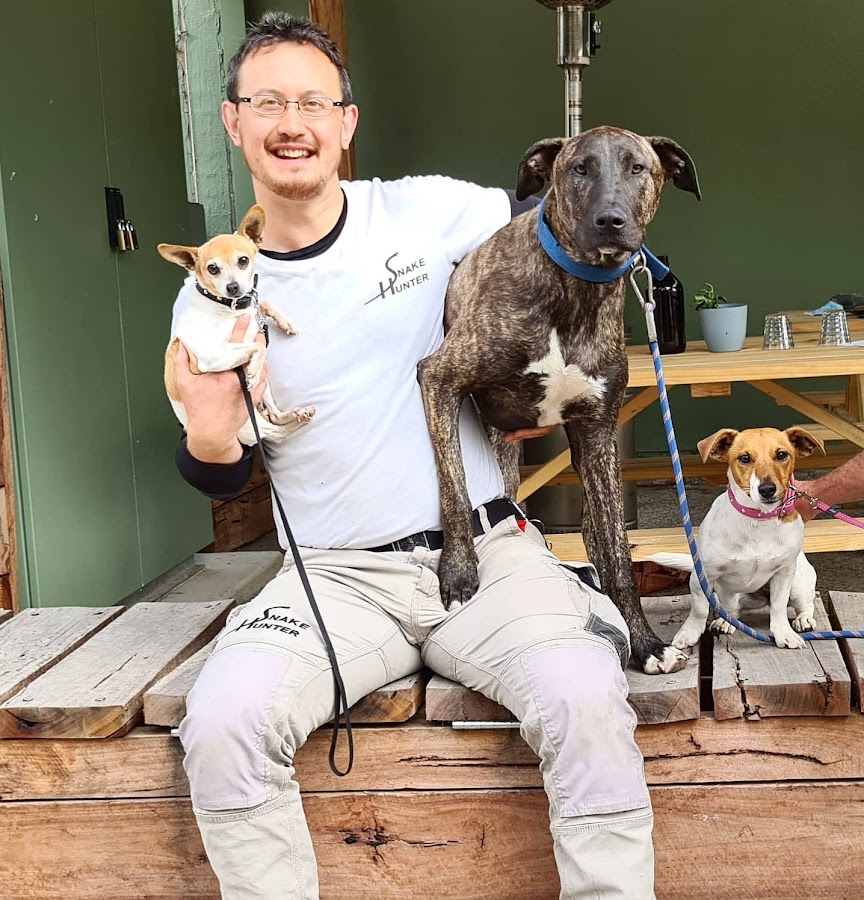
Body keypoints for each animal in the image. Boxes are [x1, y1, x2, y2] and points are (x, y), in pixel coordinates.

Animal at [159, 205, 315, 445]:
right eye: (212, 268)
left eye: (243, 260)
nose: (233, 287)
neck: (230, 308)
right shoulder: (211, 355)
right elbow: (258, 346)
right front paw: (252, 369)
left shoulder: (252, 310)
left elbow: (263, 304)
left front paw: (284, 321)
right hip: (248, 422)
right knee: (276, 433)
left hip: (265, 389)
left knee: (275, 416)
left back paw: (296, 413)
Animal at [417, 126, 700, 675]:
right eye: (578, 168)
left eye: (638, 167)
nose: (610, 220)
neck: (577, 290)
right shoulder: (438, 378)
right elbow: (454, 489)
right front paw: (459, 573)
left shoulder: (597, 432)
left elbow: (617, 554)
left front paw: (645, 643)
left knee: (593, 535)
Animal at [650, 427, 825, 650]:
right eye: (744, 458)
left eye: (781, 455)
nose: (767, 489)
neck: (758, 520)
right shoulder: (704, 575)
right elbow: (699, 609)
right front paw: (689, 633)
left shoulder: (783, 574)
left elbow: (778, 608)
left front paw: (784, 634)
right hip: (728, 593)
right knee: (731, 611)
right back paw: (724, 622)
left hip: (798, 584)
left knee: (805, 605)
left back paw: (804, 619)